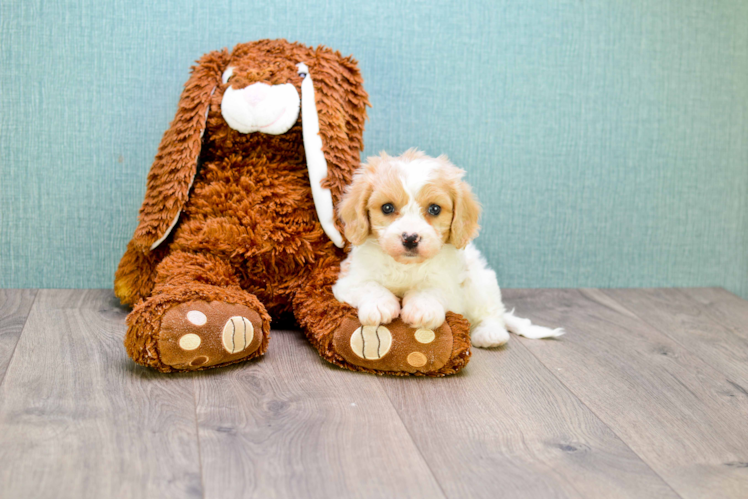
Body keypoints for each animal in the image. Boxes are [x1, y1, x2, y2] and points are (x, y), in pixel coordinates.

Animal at [330, 150, 564, 350]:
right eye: (387, 207)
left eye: (435, 209)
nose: (410, 238)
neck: (406, 266)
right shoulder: (348, 279)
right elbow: (368, 286)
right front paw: (380, 305)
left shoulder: (451, 285)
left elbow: (432, 288)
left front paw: (422, 308)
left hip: (481, 282)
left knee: (491, 312)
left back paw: (490, 334)